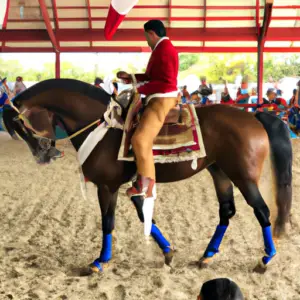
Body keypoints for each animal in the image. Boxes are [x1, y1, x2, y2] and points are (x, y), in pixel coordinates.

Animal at [2, 78, 292, 274]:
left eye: (20, 125)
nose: (43, 156)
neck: (103, 126)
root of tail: (254, 116)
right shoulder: (133, 185)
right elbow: (145, 215)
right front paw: (168, 252)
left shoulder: (107, 186)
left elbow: (108, 222)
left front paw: (100, 261)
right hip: (219, 172)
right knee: (227, 211)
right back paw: (207, 255)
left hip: (244, 177)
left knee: (262, 211)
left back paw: (266, 258)